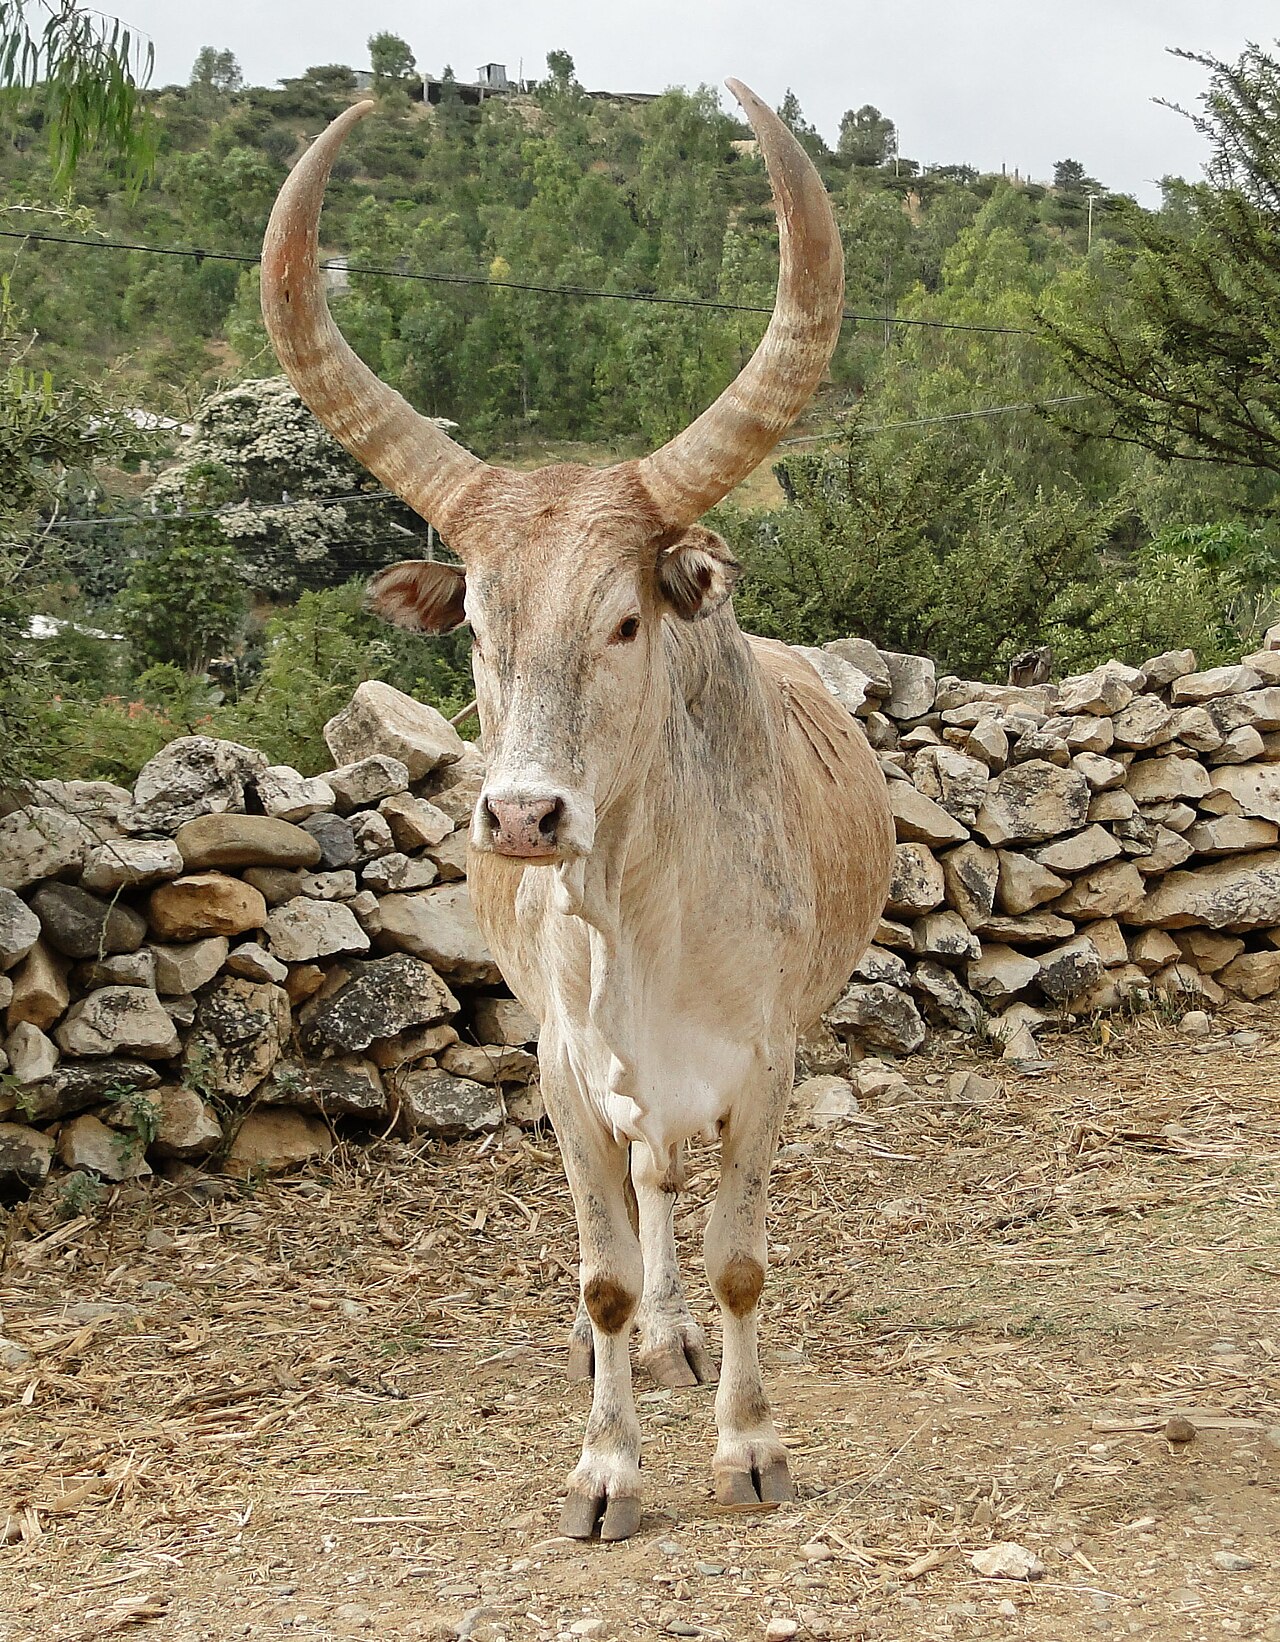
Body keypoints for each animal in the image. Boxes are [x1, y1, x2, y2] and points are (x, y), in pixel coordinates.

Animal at [261, 79, 894, 1542]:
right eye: (477, 626)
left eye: (623, 619)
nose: (523, 820)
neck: (641, 912)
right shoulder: (561, 1070)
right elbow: (605, 1272)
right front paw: (606, 1463)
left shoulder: (765, 1064)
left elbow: (739, 1258)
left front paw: (750, 1444)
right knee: (646, 1197)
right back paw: (651, 1343)